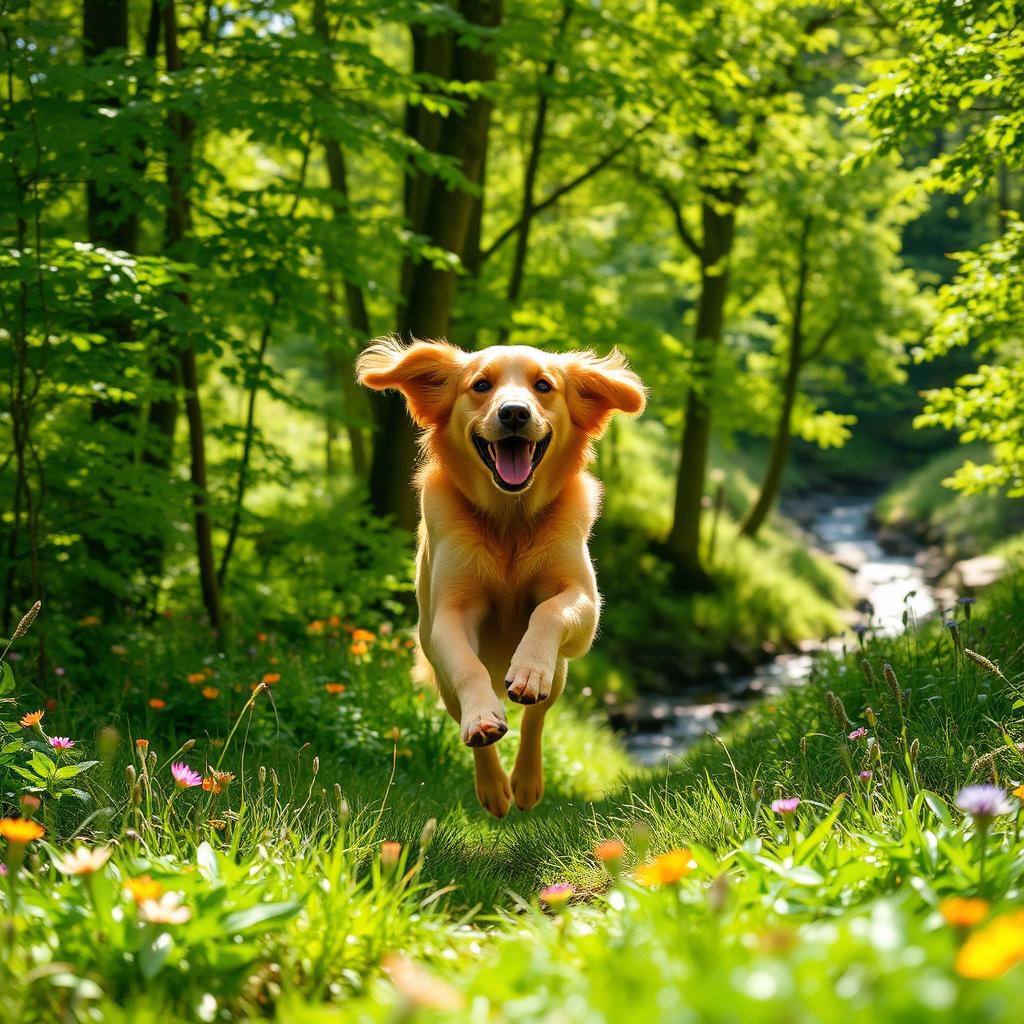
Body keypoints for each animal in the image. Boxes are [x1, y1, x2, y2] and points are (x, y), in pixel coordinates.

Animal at [360, 339, 643, 819]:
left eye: (543, 385)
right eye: (481, 385)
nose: (514, 413)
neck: (509, 520)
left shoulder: (582, 599)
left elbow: (549, 612)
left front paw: (527, 670)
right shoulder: (448, 614)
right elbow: (467, 666)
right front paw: (483, 720)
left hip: (561, 672)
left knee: (536, 719)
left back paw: (526, 782)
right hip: (444, 685)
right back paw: (493, 785)